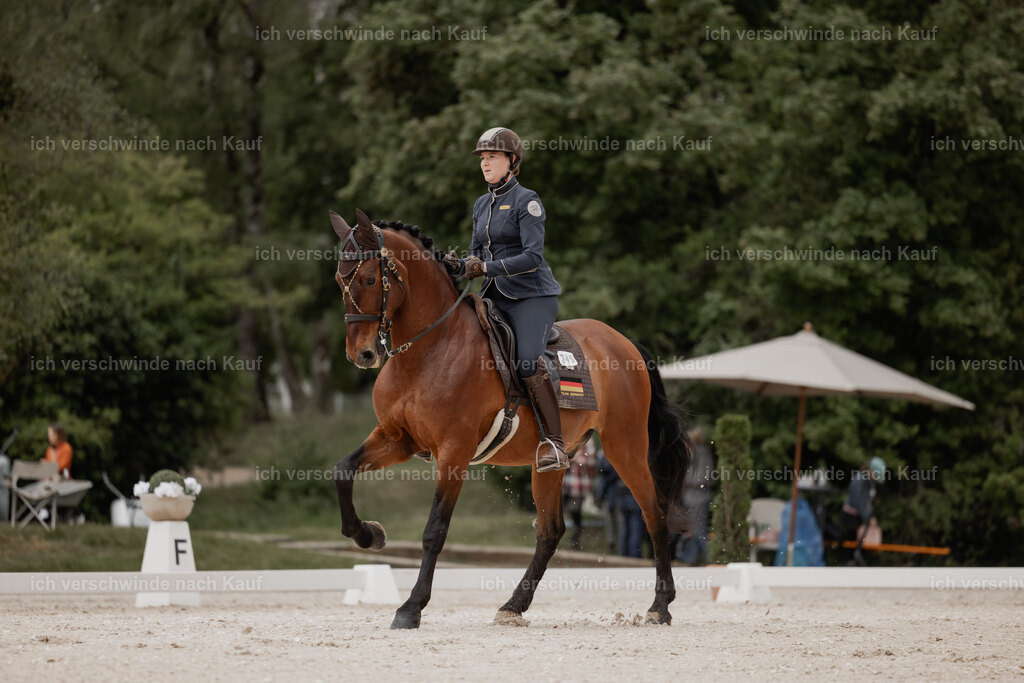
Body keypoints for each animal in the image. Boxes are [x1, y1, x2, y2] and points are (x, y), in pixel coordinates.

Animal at [329, 208, 693, 629]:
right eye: (339, 279)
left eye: (370, 279)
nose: (362, 355)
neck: (426, 350)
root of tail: (622, 340)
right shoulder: (396, 438)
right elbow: (342, 470)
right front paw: (368, 535)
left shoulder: (454, 451)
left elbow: (435, 530)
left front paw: (411, 607)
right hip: (552, 462)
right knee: (551, 531)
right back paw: (513, 605)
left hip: (625, 446)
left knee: (654, 513)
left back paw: (660, 606)